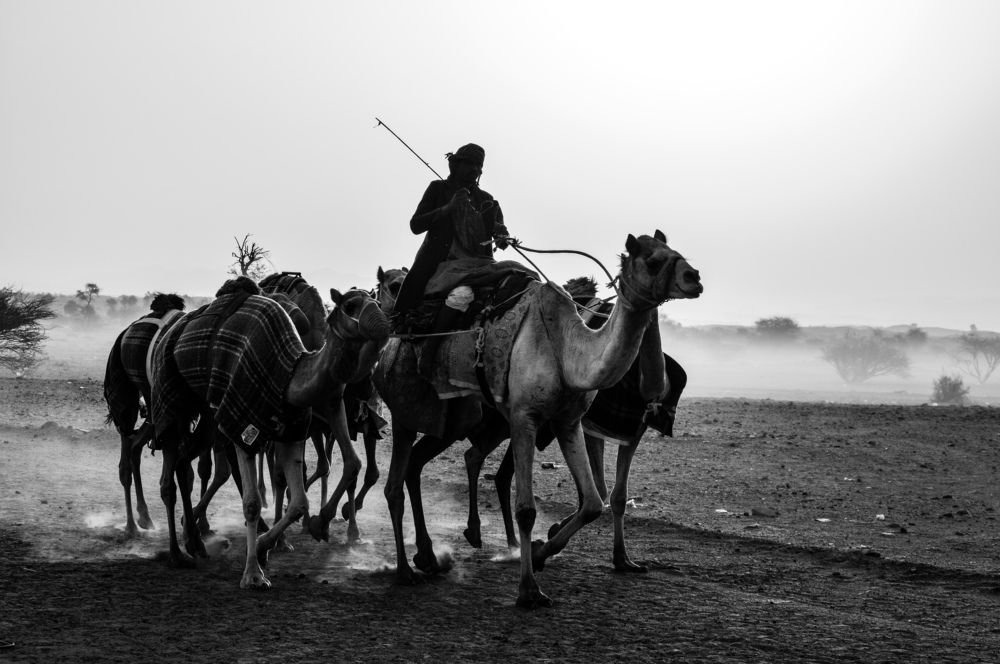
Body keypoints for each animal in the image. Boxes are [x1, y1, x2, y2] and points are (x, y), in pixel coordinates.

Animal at [149, 277, 389, 587]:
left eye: (378, 302)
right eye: (350, 305)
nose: (384, 328)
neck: (288, 375)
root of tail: (172, 330)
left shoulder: (292, 428)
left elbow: (299, 501)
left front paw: (271, 545)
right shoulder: (242, 426)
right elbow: (252, 502)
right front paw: (253, 573)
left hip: (208, 415)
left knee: (182, 463)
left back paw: (195, 543)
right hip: (173, 396)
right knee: (169, 474)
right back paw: (177, 554)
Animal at [374, 230, 702, 607]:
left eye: (675, 251)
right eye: (653, 260)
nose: (694, 277)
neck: (567, 352)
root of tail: (391, 341)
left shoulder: (570, 421)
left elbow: (594, 501)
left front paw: (549, 551)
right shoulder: (524, 418)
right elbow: (528, 509)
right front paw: (529, 589)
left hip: (456, 417)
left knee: (423, 463)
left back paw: (432, 555)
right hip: (409, 410)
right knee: (398, 481)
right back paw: (407, 570)